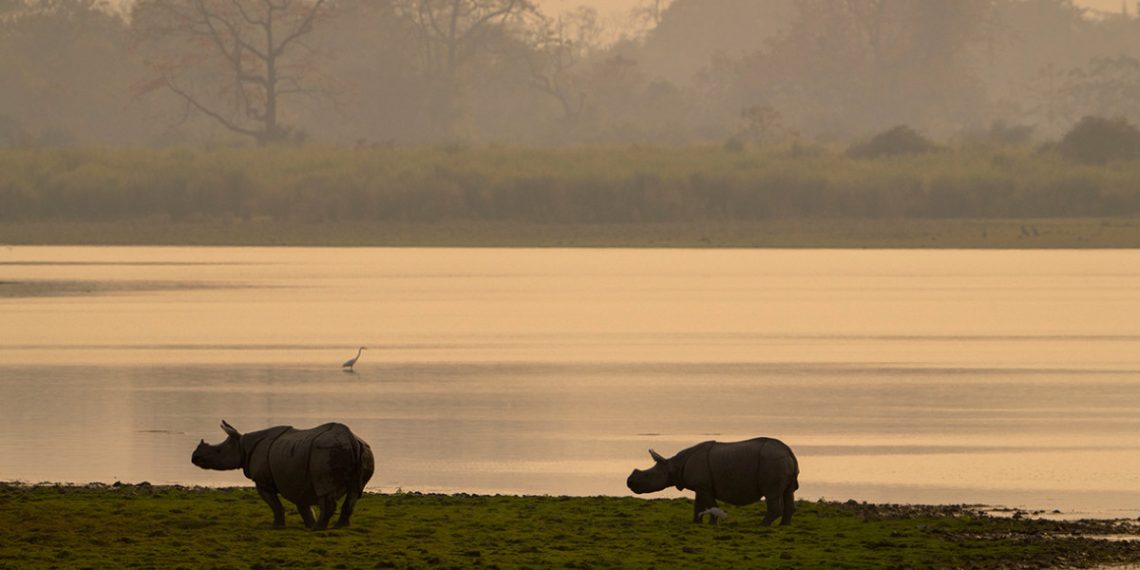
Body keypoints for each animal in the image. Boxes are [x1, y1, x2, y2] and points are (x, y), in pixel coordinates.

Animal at [191, 419, 373, 528]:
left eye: (218, 451)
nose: (195, 457)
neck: (242, 445)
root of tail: (351, 440)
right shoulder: (298, 479)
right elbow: (303, 505)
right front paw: (308, 523)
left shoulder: (262, 482)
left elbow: (275, 505)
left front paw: (276, 527)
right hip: (364, 450)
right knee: (355, 492)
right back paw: (339, 527)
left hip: (325, 452)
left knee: (326, 491)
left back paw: (318, 529)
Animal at [624, 437, 802, 526]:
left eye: (647, 476)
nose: (629, 482)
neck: (672, 466)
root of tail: (789, 452)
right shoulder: (700, 486)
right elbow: (699, 504)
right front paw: (696, 522)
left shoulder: (704, 486)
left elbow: (710, 505)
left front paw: (712, 523)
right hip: (779, 461)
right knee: (788, 492)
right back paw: (784, 526)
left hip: (772, 461)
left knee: (772, 494)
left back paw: (762, 525)